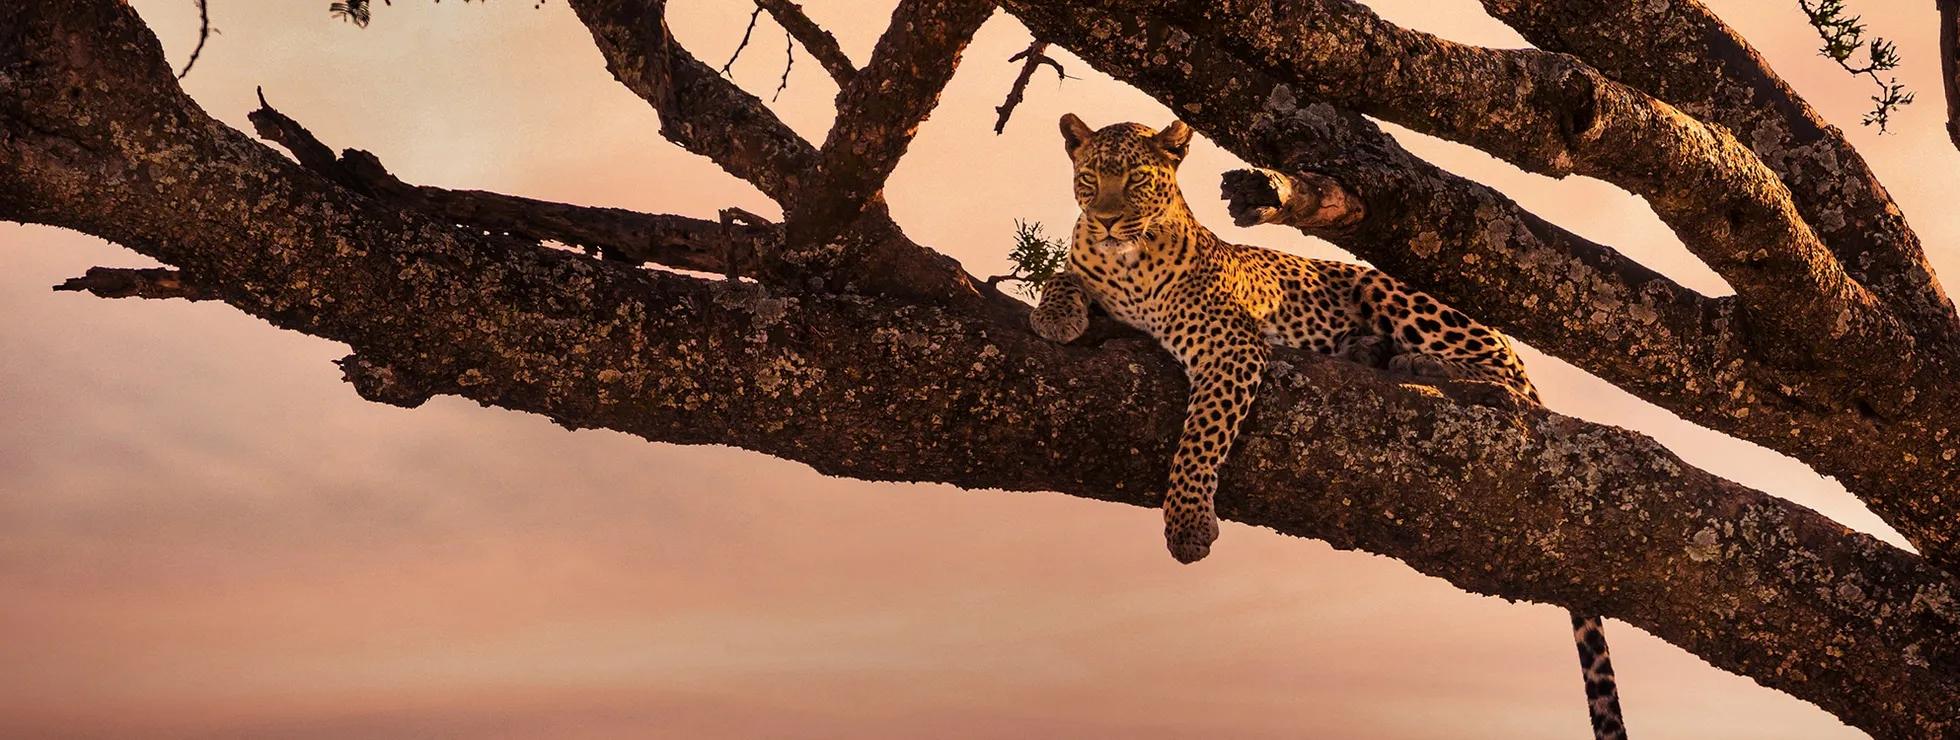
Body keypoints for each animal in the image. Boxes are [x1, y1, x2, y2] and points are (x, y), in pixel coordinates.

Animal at [1029, 114, 1628, 740]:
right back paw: (1374, 351)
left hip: (1397, 294)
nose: (1106, 218)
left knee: (1506, 379)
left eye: (1138, 179)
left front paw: (1188, 525)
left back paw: (1414, 361)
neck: (1126, 264)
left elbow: (1200, 438)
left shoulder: (1232, 347)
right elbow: (1064, 277)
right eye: (1091, 177)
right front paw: (1055, 314)